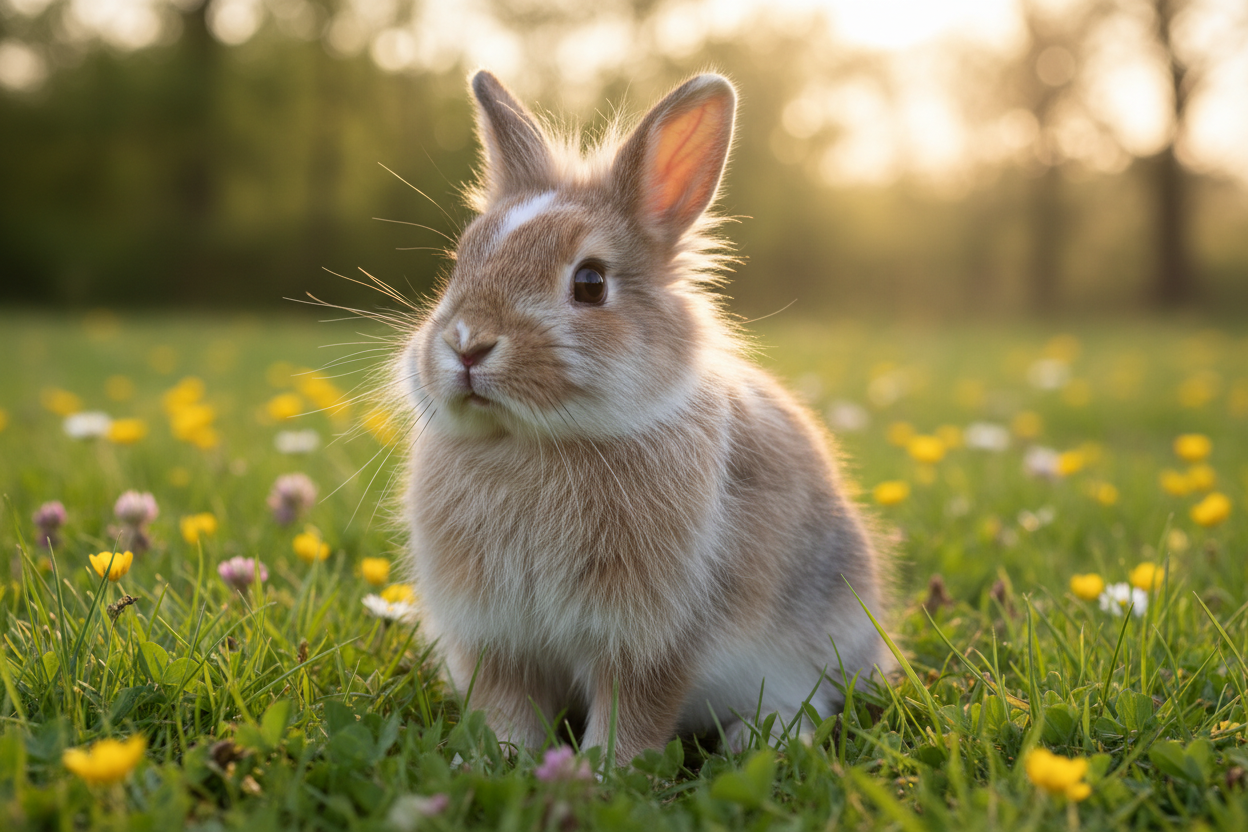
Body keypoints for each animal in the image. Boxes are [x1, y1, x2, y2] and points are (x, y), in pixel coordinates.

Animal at [397, 69, 892, 766]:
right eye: (460, 262)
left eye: (590, 283)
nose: (467, 345)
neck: (533, 442)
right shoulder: (500, 641)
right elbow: (507, 710)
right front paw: (496, 762)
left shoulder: (651, 641)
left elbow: (633, 715)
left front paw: (603, 774)